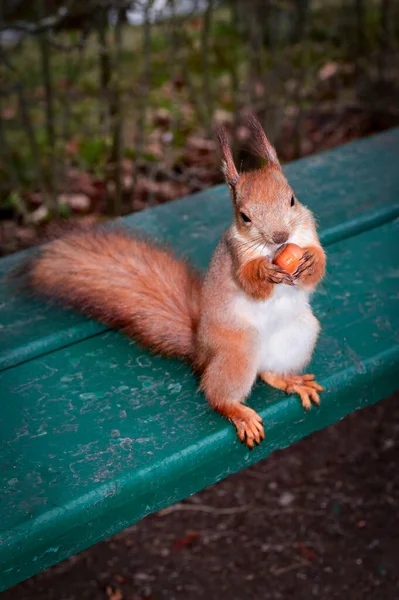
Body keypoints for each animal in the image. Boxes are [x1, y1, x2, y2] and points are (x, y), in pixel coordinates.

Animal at [21, 117, 326, 448]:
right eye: (244, 216)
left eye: (292, 199)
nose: (281, 237)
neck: (271, 251)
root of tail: (201, 351)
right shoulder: (237, 256)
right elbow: (249, 282)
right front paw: (265, 273)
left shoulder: (308, 230)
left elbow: (317, 266)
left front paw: (310, 260)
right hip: (236, 353)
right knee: (217, 394)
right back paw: (239, 412)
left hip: (300, 335)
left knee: (267, 374)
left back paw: (289, 379)